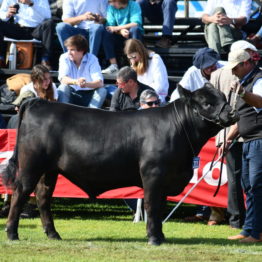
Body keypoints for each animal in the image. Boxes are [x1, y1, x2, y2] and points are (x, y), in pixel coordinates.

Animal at [1, 84, 237, 246]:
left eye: (223, 97)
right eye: (207, 103)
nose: (231, 113)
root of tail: (39, 102)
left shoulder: (165, 179)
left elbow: (160, 208)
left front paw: (160, 236)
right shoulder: (154, 175)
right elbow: (152, 206)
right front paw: (153, 238)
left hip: (49, 170)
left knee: (43, 197)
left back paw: (53, 234)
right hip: (31, 166)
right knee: (20, 193)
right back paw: (12, 234)